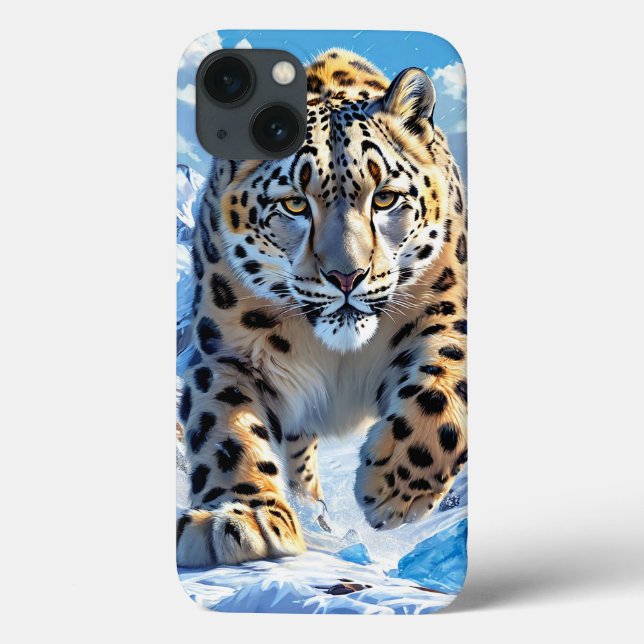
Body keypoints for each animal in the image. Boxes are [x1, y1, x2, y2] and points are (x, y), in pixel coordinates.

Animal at [176, 48, 467, 567]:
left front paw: (392, 493)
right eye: (294, 204)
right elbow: (226, 430)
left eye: (385, 198)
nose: (346, 276)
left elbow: (443, 388)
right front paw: (242, 519)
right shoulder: (225, 353)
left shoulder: (446, 314)